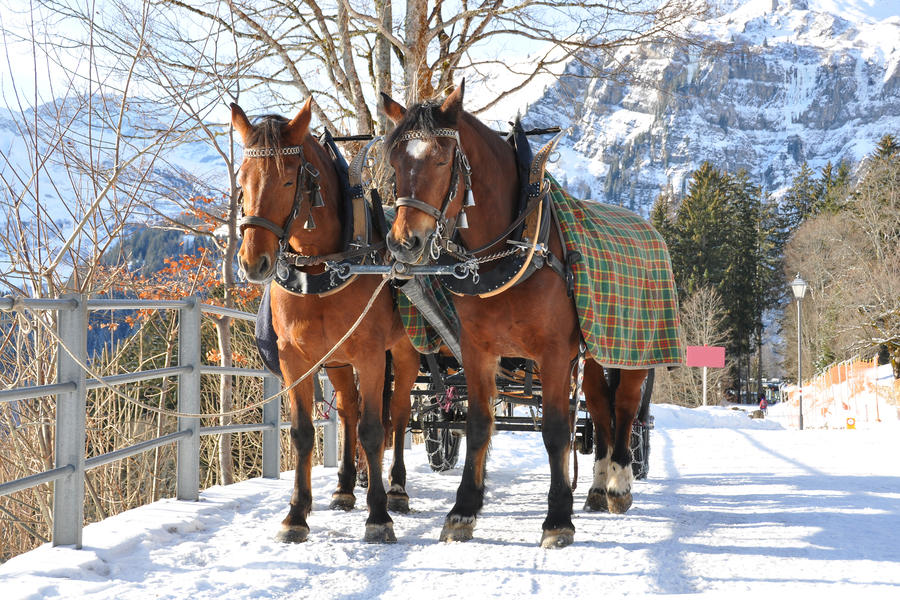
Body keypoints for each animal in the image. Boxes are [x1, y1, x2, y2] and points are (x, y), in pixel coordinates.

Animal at [230, 99, 416, 544]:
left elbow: (373, 430)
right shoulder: (295, 360)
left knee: (399, 412)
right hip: (337, 361)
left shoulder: (370, 355)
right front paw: (296, 513)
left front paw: (379, 515)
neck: (322, 267)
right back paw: (346, 486)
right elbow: (303, 433)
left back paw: (397, 488)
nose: (253, 262)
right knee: (348, 410)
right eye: (242, 179)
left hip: (403, 352)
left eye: (287, 181)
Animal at [384, 84, 652, 548]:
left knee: (626, 408)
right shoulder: (477, 350)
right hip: (590, 354)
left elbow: (557, 431)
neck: (511, 250)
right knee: (601, 411)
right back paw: (598, 487)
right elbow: (478, 425)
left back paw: (619, 483)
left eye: (441, 158)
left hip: (628, 346)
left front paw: (558, 518)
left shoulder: (554, 354)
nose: (404, 242)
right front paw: (463, 511)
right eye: (394, 162)